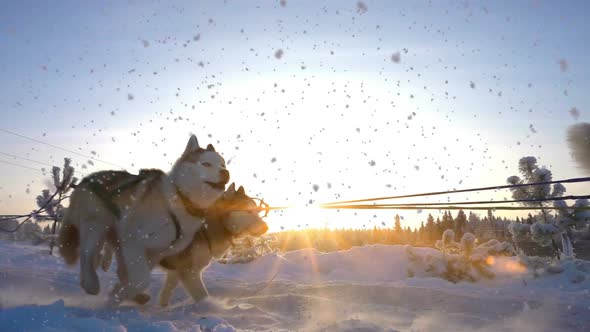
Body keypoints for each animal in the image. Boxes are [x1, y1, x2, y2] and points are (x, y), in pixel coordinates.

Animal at [57, 134, 229, 302]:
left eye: (223, 164)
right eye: (206, 164)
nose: (226, 173)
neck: (179, 200)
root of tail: (86, 179)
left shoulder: (157, 252)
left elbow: (137, 277)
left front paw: (120, 292)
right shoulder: (134, 240)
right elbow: (142, 280)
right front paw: (119, 295)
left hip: (116, 237)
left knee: (116, 267)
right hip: (97, 224)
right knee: (86, 253)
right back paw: (90, 283)